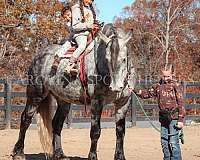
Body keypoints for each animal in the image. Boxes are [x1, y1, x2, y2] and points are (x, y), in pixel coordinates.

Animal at [11, 23, 136, 160]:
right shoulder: (97, 102)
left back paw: (59, 154)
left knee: (56, 124)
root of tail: (40, 55)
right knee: (26, 119)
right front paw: (92, 156)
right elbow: (95, 131)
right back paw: (18, 152)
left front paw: (120, 156)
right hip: (35, 95)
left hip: (63, 101)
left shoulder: (123, 103)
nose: (116, 87)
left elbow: (120, 131)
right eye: (107, 59)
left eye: (124, 59)